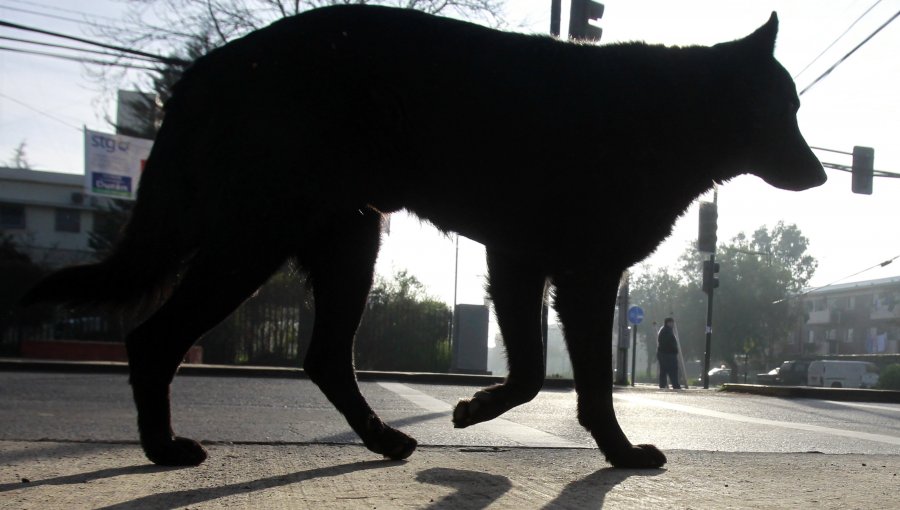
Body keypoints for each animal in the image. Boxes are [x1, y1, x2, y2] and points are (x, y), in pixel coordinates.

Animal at [21, 5, 828, 470]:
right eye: (783, 108)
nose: (822, 174)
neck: (670, 115)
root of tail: (213, 66)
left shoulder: (519, 260)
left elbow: (531, 372)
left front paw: (476, 409)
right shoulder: (581, 276)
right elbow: (588, 382)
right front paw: (620, 452)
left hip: (348, 241)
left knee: (323, 358)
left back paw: (381, 438)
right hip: (254, 240)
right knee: (155, 339)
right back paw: (162, 448)